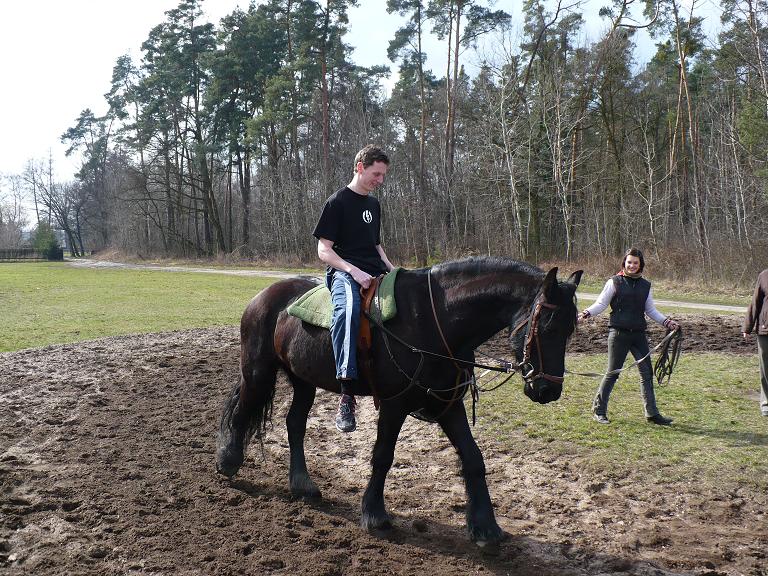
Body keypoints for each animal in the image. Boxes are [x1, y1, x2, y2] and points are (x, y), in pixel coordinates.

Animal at [216, 256, 584, 544]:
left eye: (569, 331)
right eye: (547, 327)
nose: (548, 391)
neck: (437, 322)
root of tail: (264, 297)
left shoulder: (449, 405)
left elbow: (473, 458)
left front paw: (484, 526)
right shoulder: (394, 405)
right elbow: (383, 456)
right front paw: (374, 513)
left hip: (303, 380)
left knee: (294, 424)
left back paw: (302, 484)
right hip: (258, 371)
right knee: (241, 411)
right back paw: (228, 460)